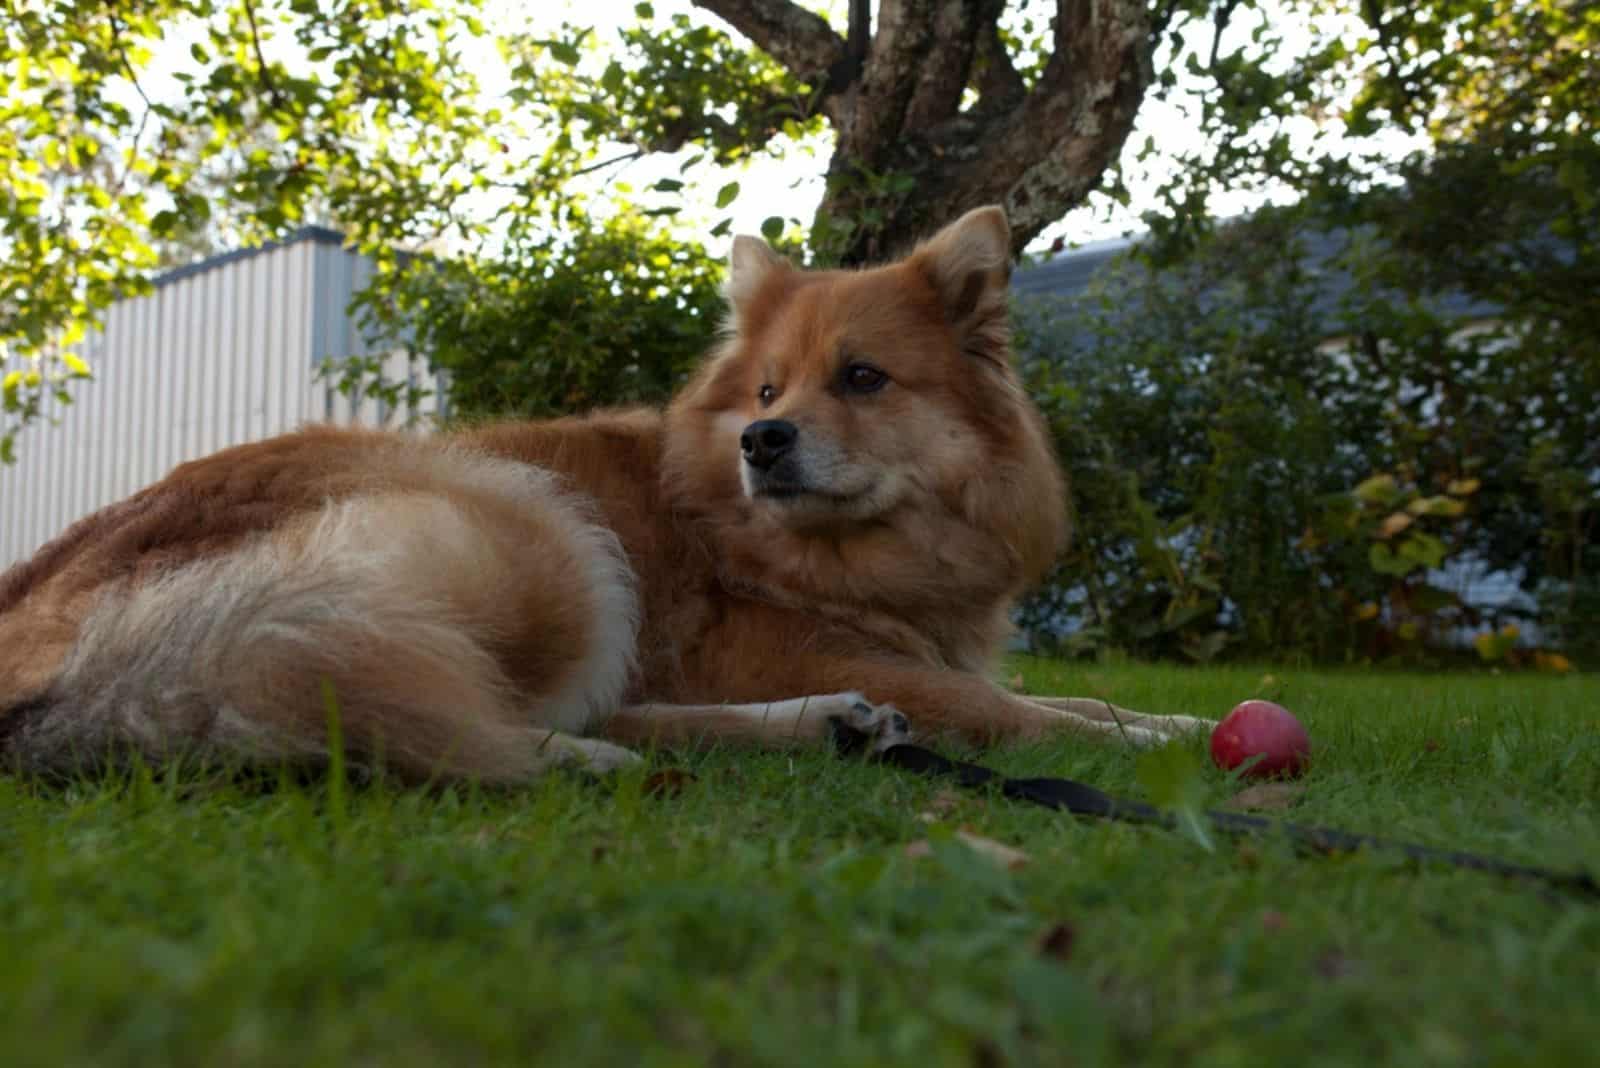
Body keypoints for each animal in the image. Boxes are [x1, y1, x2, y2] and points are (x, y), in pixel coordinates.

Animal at [0, 206, 1203, 783]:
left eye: (863, 378)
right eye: (767, 389)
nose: (763, 441)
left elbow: (1075, 699)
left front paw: (1172, 718)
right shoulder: (843, 655)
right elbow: (1030, 714)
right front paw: (1159, 741)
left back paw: (826, 729)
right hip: (530, 530)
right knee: (394, 705)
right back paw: (579, 760)